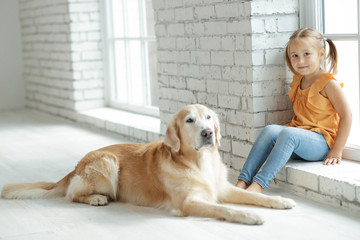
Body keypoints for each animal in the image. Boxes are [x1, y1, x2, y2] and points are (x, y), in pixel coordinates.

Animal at [1, 104, 294, 224]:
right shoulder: (189, 202)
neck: (198, 163)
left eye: (209, 117)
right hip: (107, 162)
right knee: (73, 194)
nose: (208, 133)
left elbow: (254, 196)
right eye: (189, 120)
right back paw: (96, 198)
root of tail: (77, 164)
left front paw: (279, 201)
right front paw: (251, 217)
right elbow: (227, 209)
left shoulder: (220, 188)